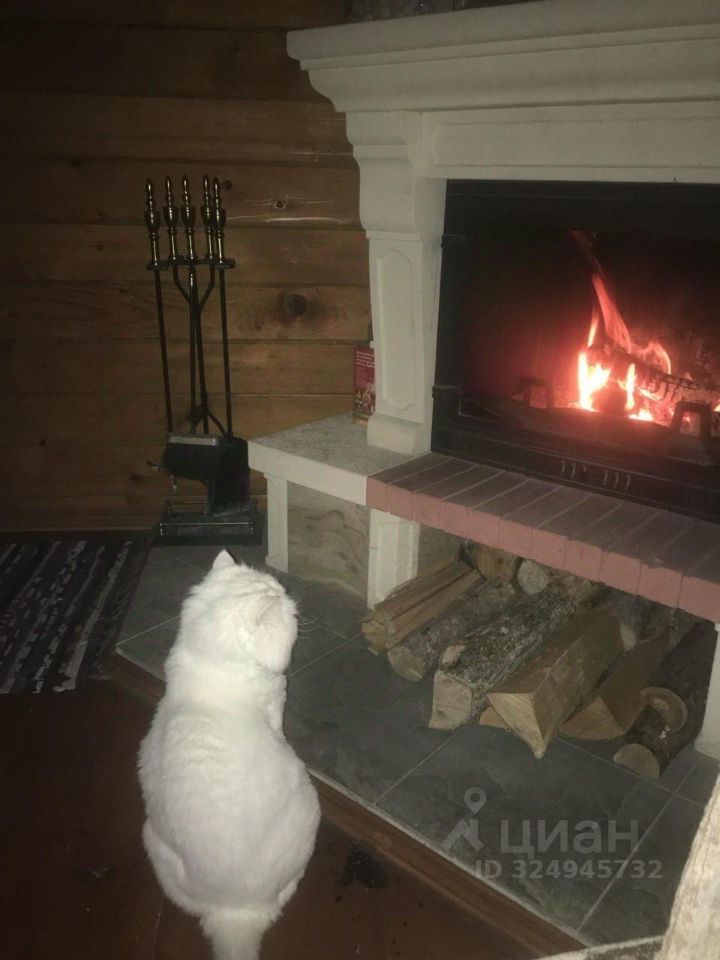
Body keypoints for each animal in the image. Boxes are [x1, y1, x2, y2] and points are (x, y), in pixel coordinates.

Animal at [138, 550, 320, 960]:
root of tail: (235, 912)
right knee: (285, 893)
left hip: (151, 839)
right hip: (310, 805)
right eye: (281, 602)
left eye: (279, 588)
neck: (209, 669)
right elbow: (279, 723)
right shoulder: (275, 706)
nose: (288, 595)